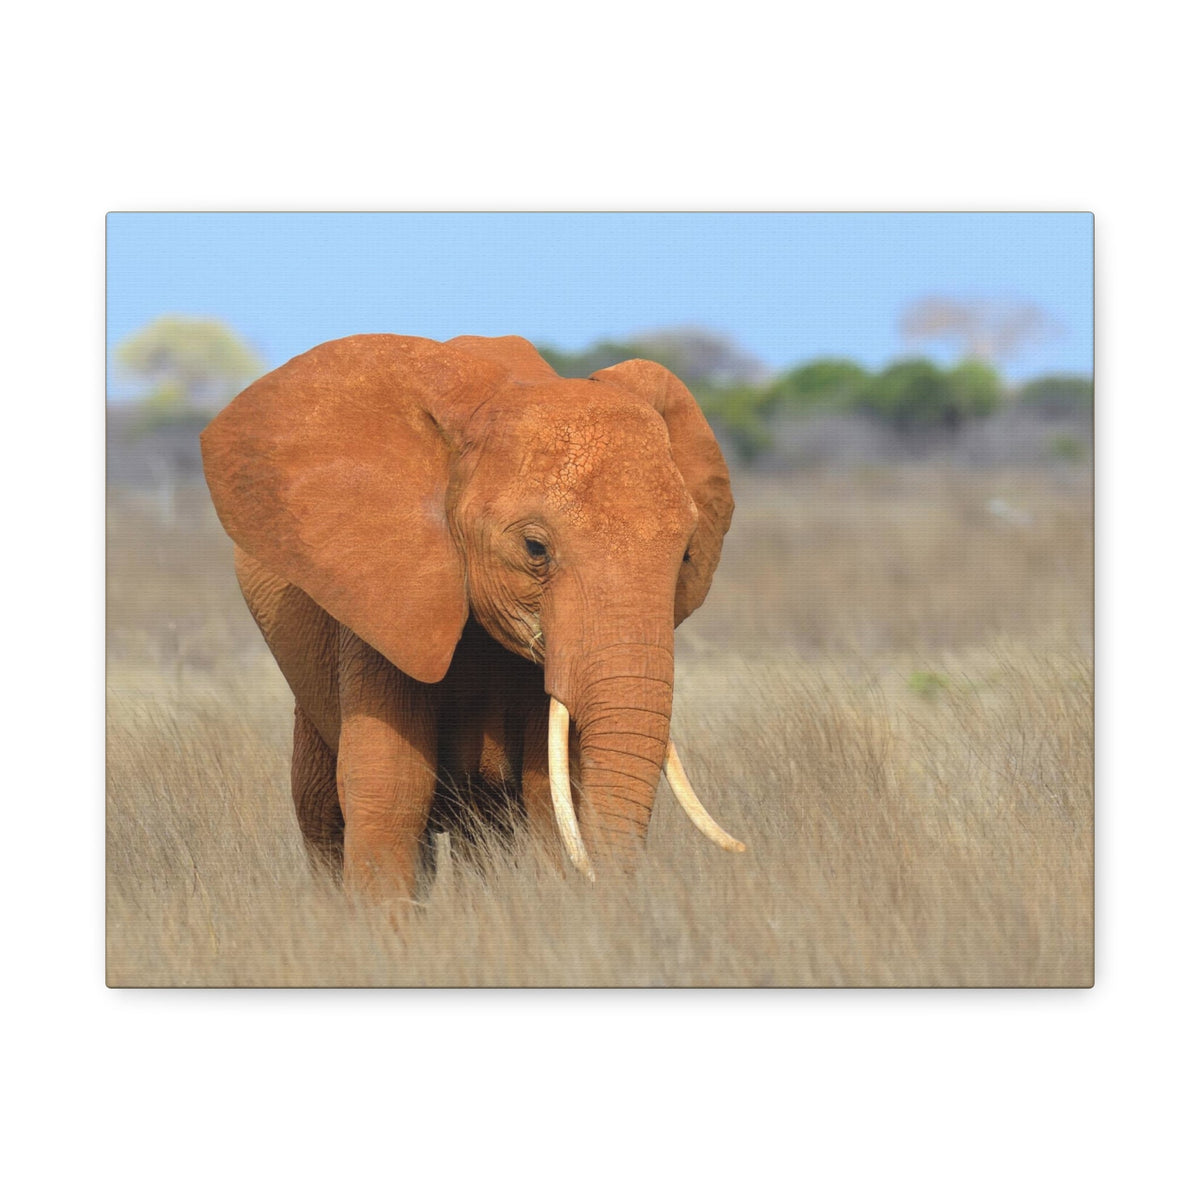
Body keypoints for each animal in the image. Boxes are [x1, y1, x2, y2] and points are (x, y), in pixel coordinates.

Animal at [201, 333, 743, 897]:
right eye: (534, 548)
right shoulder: (376, 599)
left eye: (686, 556)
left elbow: (550, 787)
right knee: (322, 811)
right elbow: (390, 782)